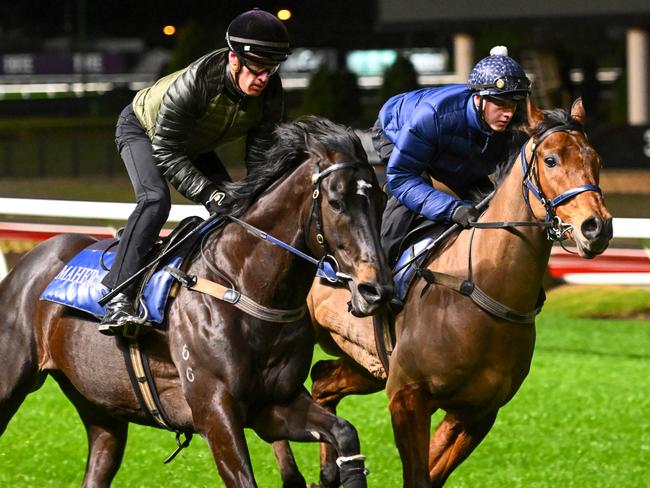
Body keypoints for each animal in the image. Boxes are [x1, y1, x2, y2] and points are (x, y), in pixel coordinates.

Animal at [270, 97, 612, 486]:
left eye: (596, 160)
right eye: (551, 160)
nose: (596, 227)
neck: (482, 291)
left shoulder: (477, 411)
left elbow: (432, 474)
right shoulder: (407, 395)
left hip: (367, 363)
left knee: (323, 379)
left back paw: (328, 471)